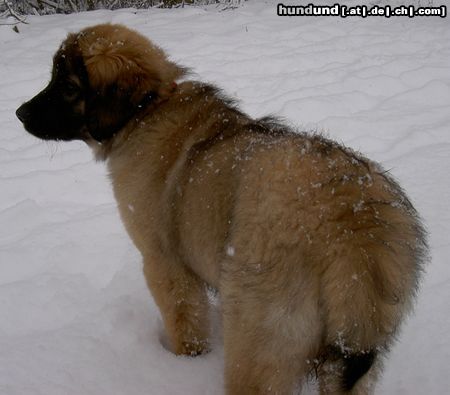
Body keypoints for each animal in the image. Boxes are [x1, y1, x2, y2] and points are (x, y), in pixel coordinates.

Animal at [16, 24, 426, 395]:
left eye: (68, 86)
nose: (19, 113)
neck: (147, 109)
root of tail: (354, 225)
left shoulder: (164, 263)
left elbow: (186, 323)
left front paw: (181, 364)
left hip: (259, 329)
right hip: (353, 353)